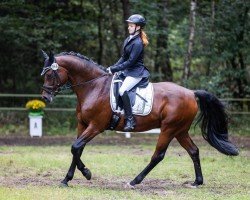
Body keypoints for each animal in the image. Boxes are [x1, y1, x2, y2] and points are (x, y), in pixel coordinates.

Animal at [40, 50, 238, 188]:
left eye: (50, 74)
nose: (45, 98)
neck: (93, 86)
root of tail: (191, 92)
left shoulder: (95, 126)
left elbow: (75, 147)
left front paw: (86, 173)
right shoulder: (82, 125)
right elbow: (77, 150)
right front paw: (67, 179)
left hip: (169, 129)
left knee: (158, 155)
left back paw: (135, 181)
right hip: (180, 131)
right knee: (194, 151)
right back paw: (197, 182)